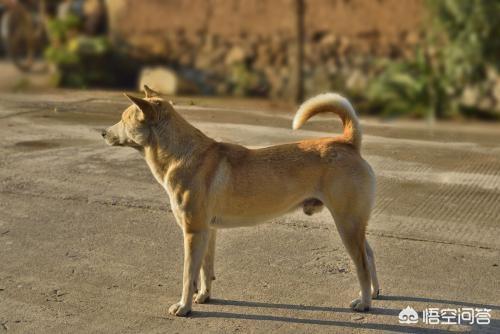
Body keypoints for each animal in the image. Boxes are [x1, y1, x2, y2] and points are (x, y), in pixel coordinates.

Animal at [103, 86, 380, 316]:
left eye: (124, 118)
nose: (103, 131)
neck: (181, 153)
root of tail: (347, 142)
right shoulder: (208, 232)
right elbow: (205, 270)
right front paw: (204, 296)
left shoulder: (193, 232)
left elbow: (187, 274)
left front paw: (184, 306)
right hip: (353, 225)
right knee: (369, 254)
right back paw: (373, 292)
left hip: (347, 224)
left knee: (362, 265)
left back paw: (364, 302)